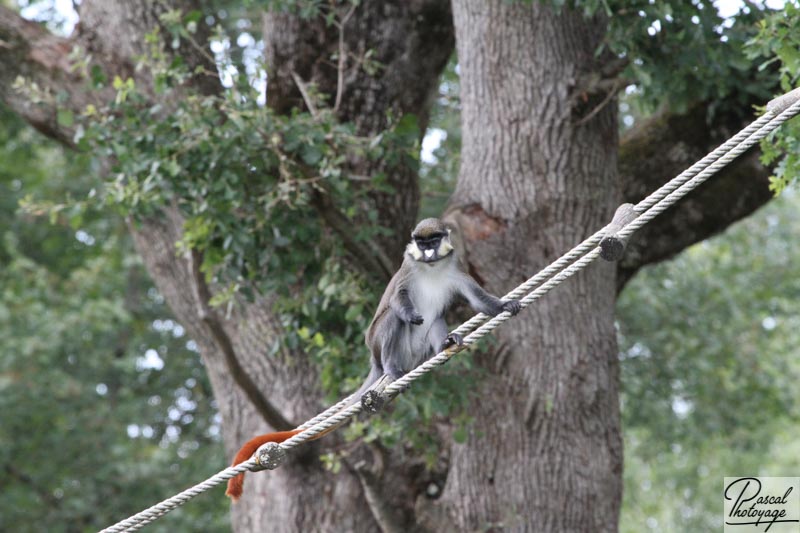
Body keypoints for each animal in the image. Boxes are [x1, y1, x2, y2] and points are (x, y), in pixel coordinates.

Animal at [228, 216, 520, 498]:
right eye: (421, 242)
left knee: (437, 319)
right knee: (391, 317)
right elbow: (398, 298)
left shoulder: (455, 268)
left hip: (419, 351)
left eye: (434, 240)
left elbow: (478, 299)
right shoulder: (407, 270)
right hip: (380, 343)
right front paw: (409, 314)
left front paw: (504, 305)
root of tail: (375, 360)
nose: (427, 252)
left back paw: (446, 346)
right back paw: (392, 368)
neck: (432, 268)